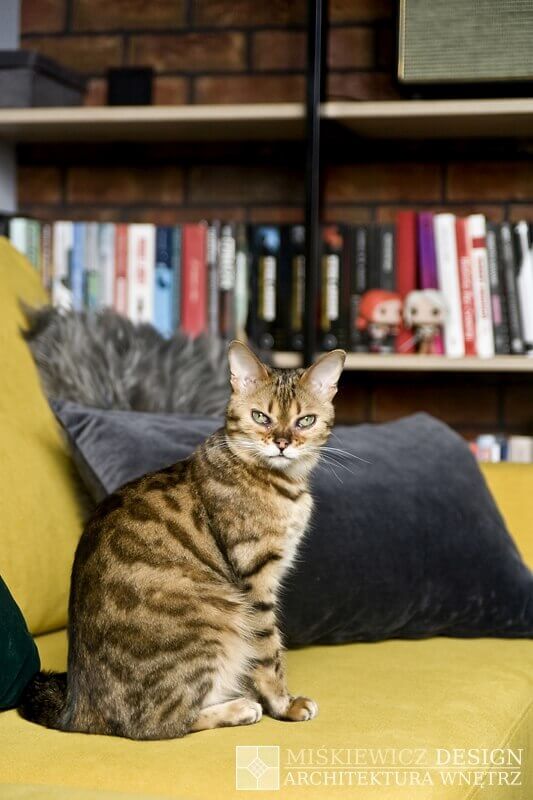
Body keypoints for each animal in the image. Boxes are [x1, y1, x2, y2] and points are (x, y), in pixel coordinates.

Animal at [20, 341, 345, 740]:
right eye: (261, 417)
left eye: (305, 421)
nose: (282, 443)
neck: (280, 483)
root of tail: (76, 710)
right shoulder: (254, 581)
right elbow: (269, 653)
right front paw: (283, 705)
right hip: (218, 620)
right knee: (161, 724)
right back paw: (238, 708)